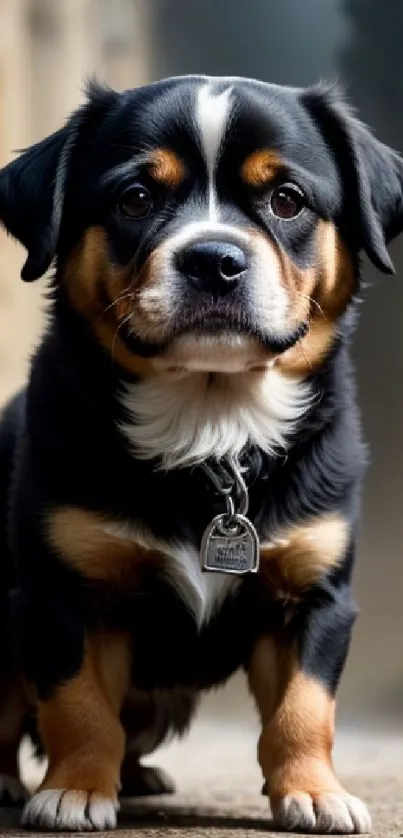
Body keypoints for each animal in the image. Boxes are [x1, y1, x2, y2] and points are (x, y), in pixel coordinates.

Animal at [0, 75, 402, 836]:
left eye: (286, 199)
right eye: (134, 198)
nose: (213, 259)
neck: (213, 429)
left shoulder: (314, 596)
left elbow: (303, 710)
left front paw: (313, 792)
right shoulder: (62, 592)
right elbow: (78, 703)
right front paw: (75, 790)